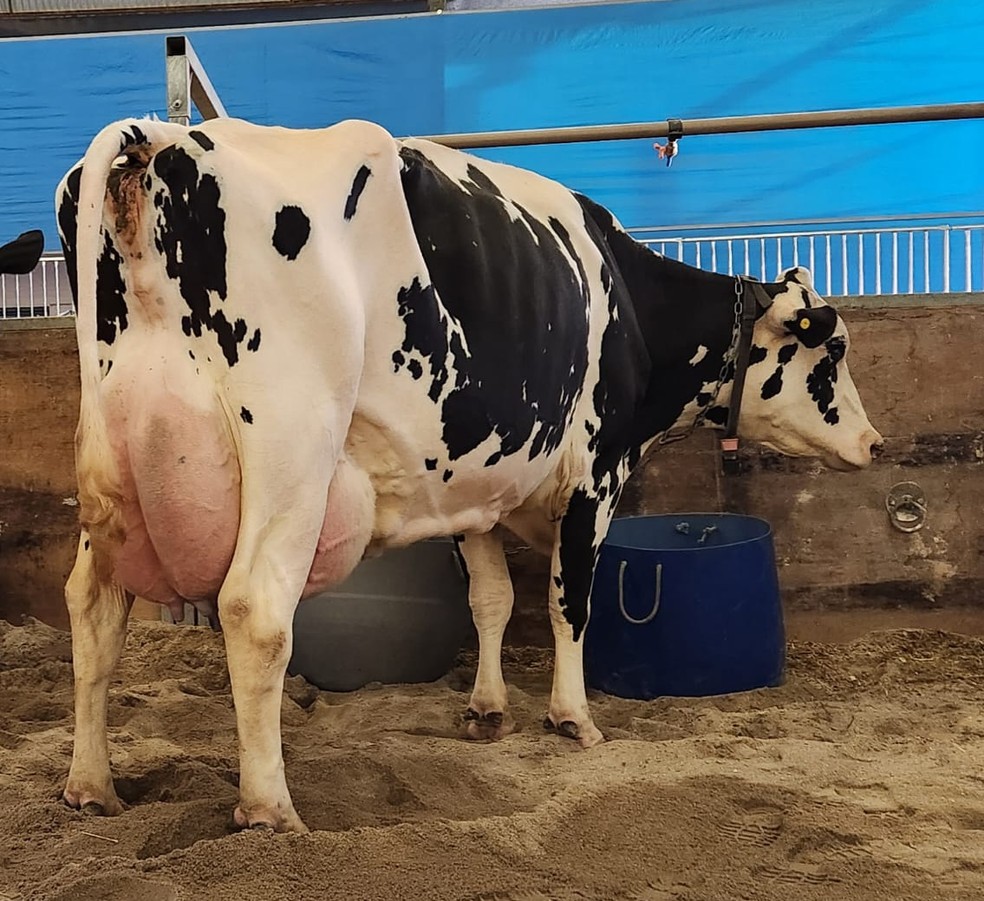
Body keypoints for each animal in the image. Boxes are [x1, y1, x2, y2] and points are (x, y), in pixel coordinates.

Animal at [55, 116, 881, 834]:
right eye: (832, 350)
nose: (873, 441)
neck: (630, 303)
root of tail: (161, 135)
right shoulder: (595, 472)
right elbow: (568, 603)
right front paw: (574, 717)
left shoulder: (469, 487)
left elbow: (491, 598)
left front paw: (488, 709)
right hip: (293, 449)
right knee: (255, 611)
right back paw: (270, 808)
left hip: (119, 476)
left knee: (93, 609)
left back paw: (92, 786)